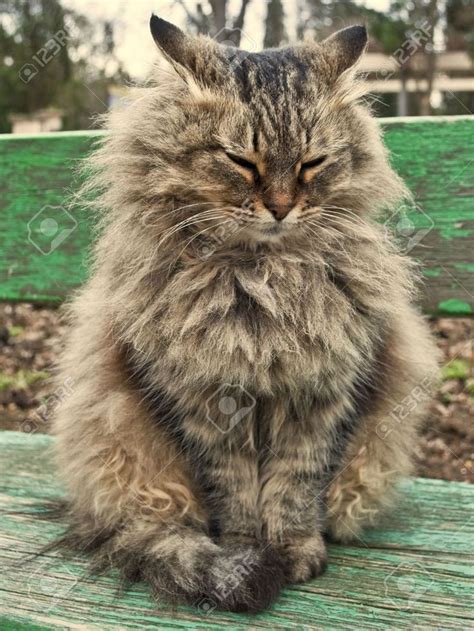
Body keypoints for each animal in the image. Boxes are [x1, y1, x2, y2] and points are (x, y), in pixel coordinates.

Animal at [50, 14, 438, 616]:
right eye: (240, 162)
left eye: (311, 164)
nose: (280, 207)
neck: (261, 281)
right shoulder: (202, 404)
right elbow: (233, 495)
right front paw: (246, 554)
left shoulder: (323, 398)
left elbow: (296, 488)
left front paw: (294, 551)